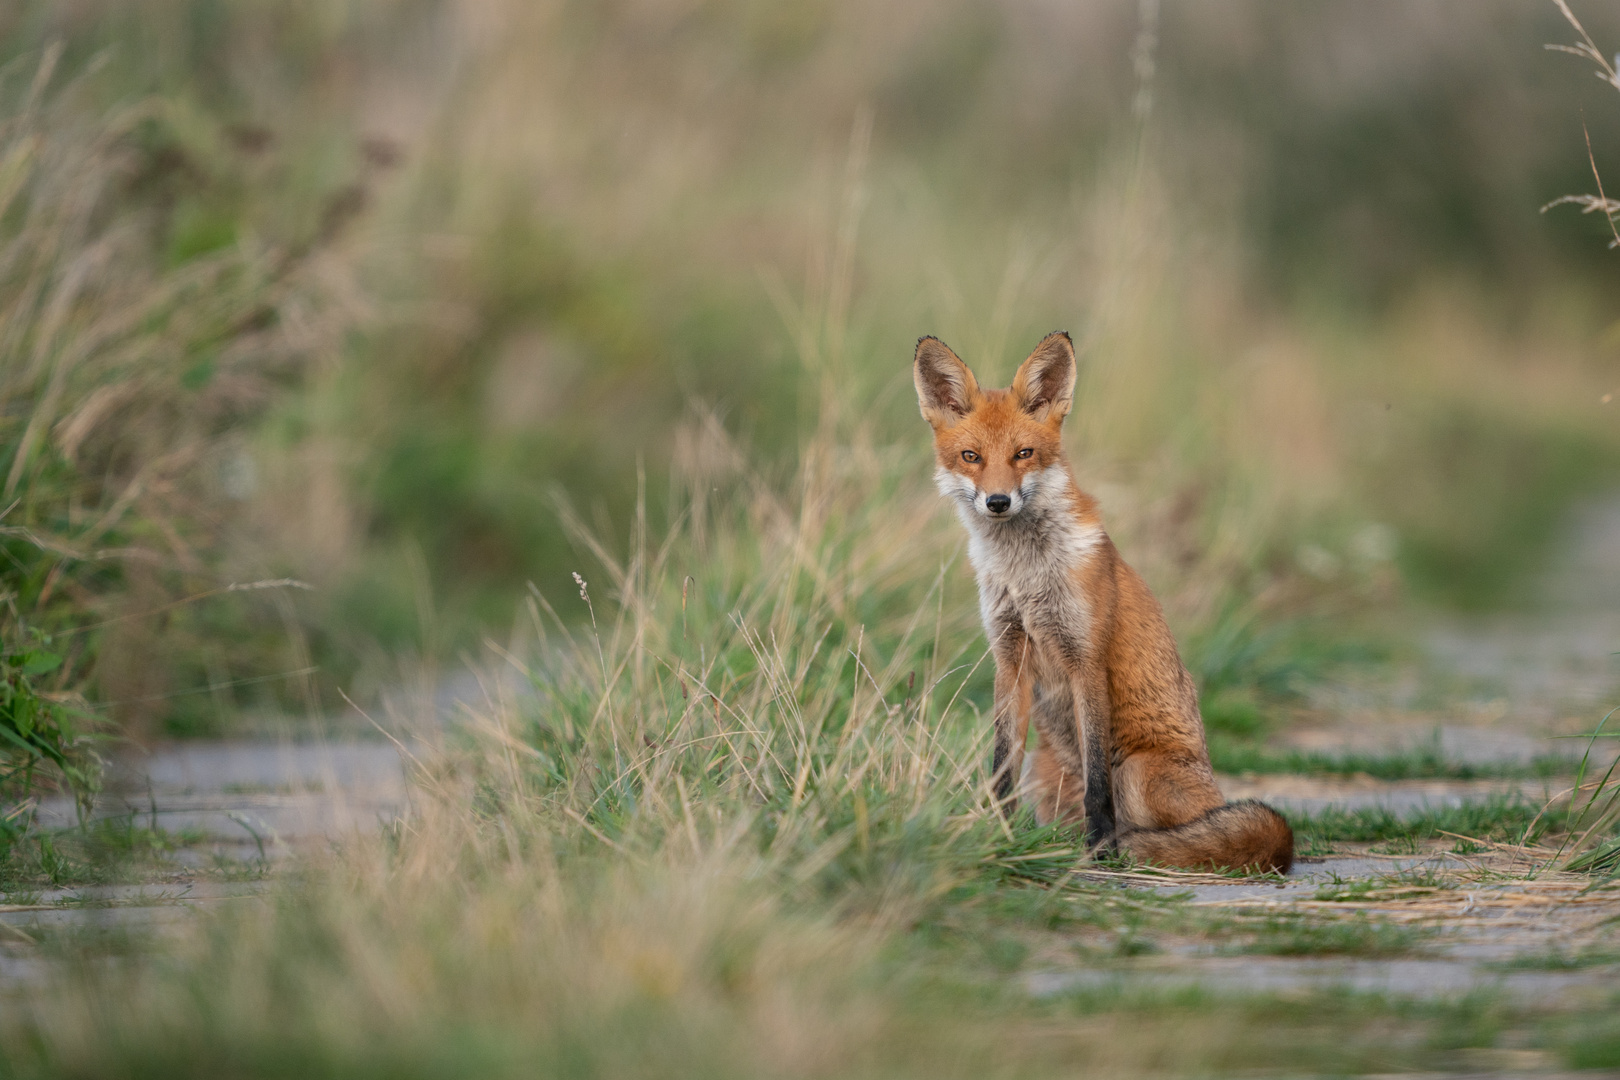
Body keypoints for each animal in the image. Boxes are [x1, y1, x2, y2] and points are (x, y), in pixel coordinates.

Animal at [920, 333, 1296, 874]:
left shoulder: (1087, 659)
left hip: (1138, 772)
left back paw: (1127, 847)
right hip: (1045, 770)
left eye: (1023, 453)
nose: (997, 502)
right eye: (971, 456)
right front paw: (998, 833)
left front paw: (1100, 851)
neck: (1025, 575)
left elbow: (1097, 783)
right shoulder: (1009, 658)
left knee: (1174, 831)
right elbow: (999, 767)